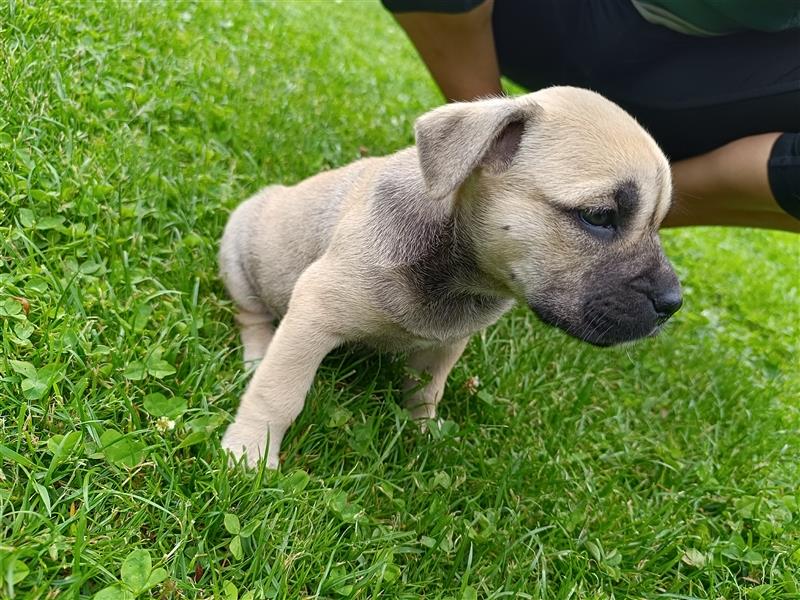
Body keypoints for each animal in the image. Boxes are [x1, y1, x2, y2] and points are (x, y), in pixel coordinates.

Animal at [217, 86, 680, 468]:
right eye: (599, 216)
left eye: (658, 223)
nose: (672, 303)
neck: (456, 269)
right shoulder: (314, 314)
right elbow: (279, 394)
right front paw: (249, 453)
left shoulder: (447, 342)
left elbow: (426, 391)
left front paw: (422, 431)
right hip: (239, 256)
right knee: (251, 315)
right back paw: (255, 354)